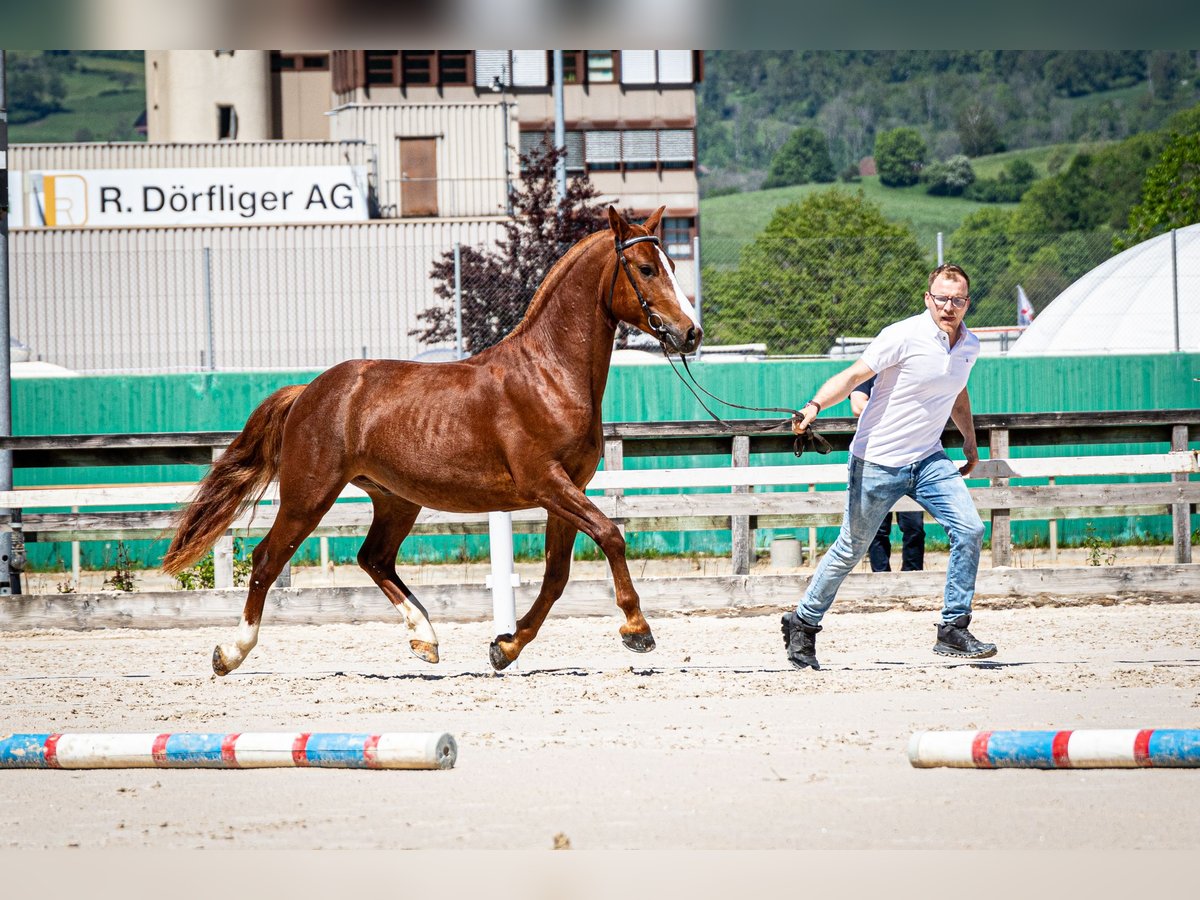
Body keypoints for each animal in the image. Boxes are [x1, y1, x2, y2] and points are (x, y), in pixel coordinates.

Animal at [162, 210, 700, 676]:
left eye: (674, 265)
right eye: (647, 268)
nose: (690, 334)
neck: (549, 375)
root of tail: (309, 391)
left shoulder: (568, 491)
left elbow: (556, 575)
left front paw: (505, 646)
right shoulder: (547, 484)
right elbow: (610, 535)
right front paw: (637, 630)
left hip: (396, 499)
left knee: (373, 558)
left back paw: (425, 638)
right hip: (308, 496)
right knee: (267, 560)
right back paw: (230, 653)